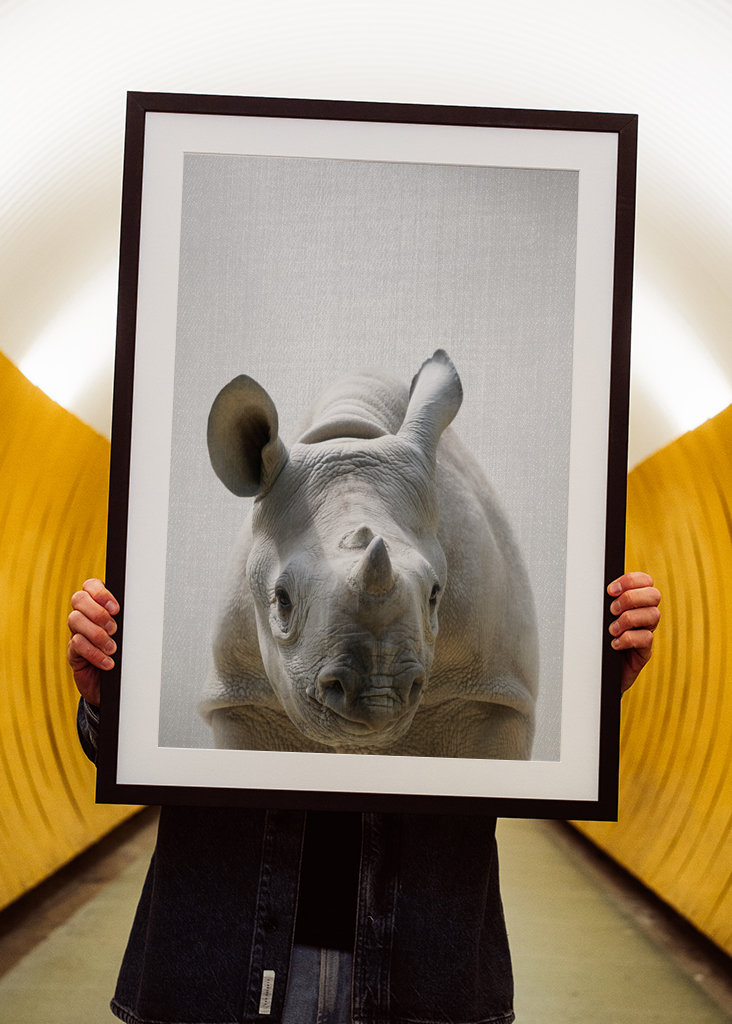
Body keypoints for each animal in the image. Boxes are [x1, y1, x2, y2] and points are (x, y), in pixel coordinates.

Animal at [200, 350, 538, 758]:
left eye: (435, 594)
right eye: (281, 599)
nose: (379, 694)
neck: (349, 436)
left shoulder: (495, 690)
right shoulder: (241, 695)